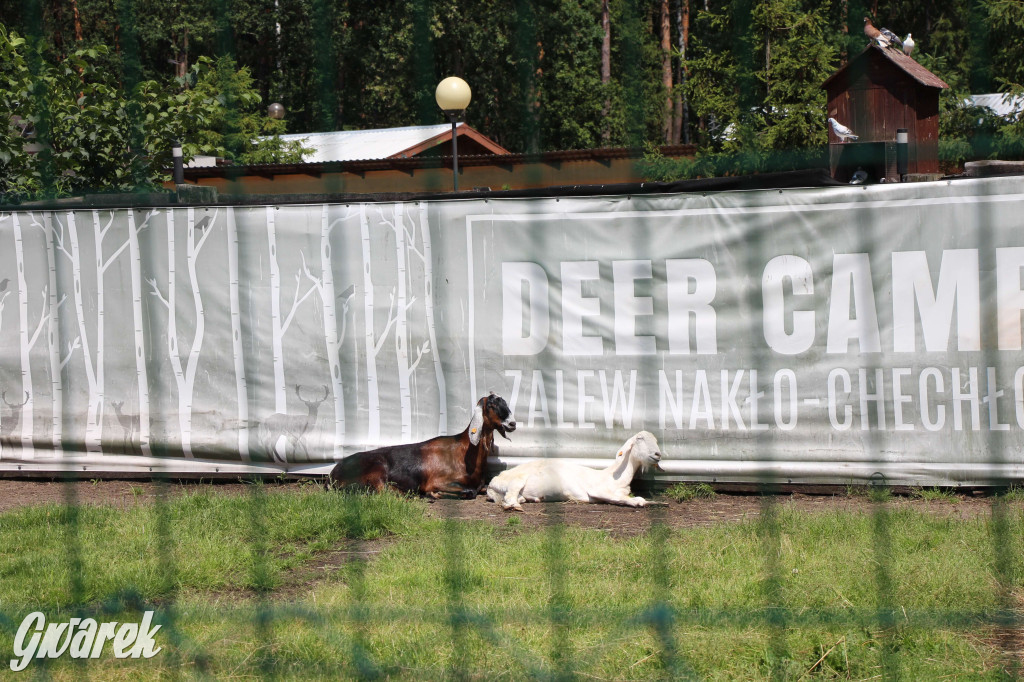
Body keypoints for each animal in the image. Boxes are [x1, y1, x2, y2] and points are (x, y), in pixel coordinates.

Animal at [329, 391, 516, 497]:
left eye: (505, 403)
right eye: (491, 404)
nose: (512, 424)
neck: (464, 451)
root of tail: (332, 476)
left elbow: (482, 488)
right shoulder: (437, 481)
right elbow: (470, 492)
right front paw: (435, 493)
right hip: (377, 470)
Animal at [485, 430, 663, 509]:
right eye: (640, 438)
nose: (658, 454)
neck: (615, 477)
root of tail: (494, 481)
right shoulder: (597, 490)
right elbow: (630, 499)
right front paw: (641, 502)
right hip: (516, 480)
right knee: (509, 498)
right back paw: (515, 507)